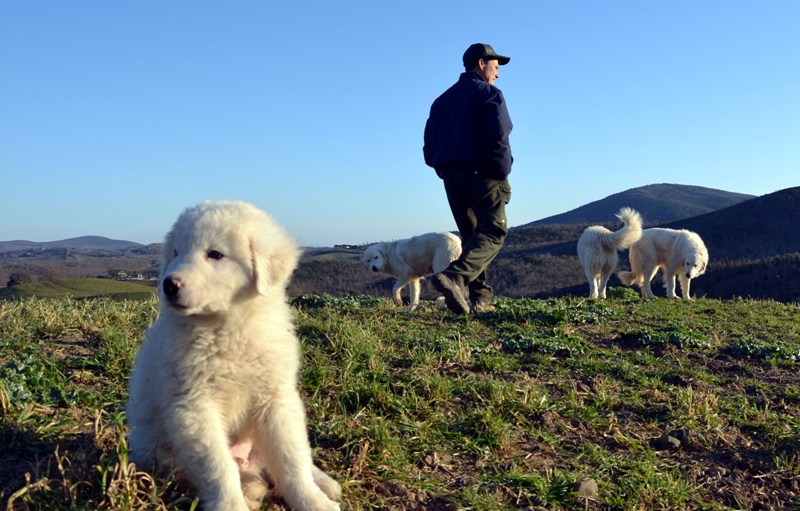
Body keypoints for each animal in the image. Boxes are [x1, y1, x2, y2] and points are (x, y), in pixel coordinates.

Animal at [125, 201, 340, 511]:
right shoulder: (193, 406)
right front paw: (231, 504)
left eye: (215, 254)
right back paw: (251, 491)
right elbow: (218, 466)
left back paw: (323, 484)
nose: (168, 285)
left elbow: (291, 459)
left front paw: (312, 500)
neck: (228, 327)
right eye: (176, 252)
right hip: (161, 455)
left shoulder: (276, 400)